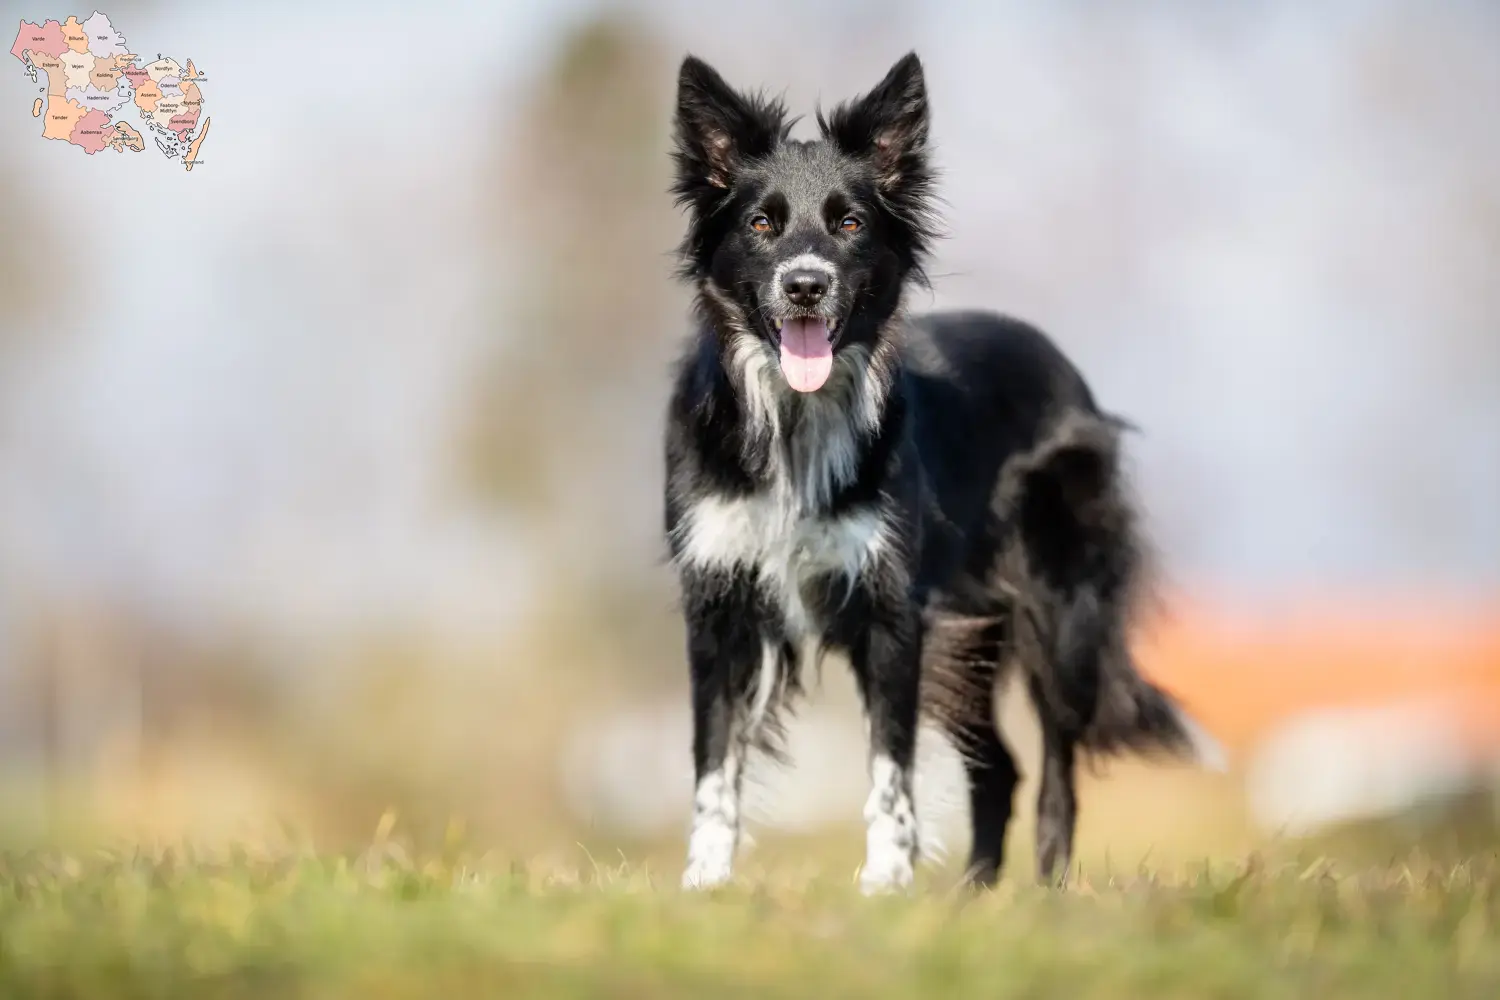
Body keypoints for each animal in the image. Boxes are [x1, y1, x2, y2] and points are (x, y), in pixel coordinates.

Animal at [663, 50, 1212, 893]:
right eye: (762, 223)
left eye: (849, 222)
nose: (805, 285)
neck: (796, 420)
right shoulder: (718, 603)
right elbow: (714, 762)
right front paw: (704, 884)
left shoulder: (893, 612)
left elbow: (890, 766)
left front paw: (886, 883)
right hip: (968, 633)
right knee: (1000, 769)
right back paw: (973, 901)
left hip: (1057, 613)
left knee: (1057, 764)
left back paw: (1047, 895)